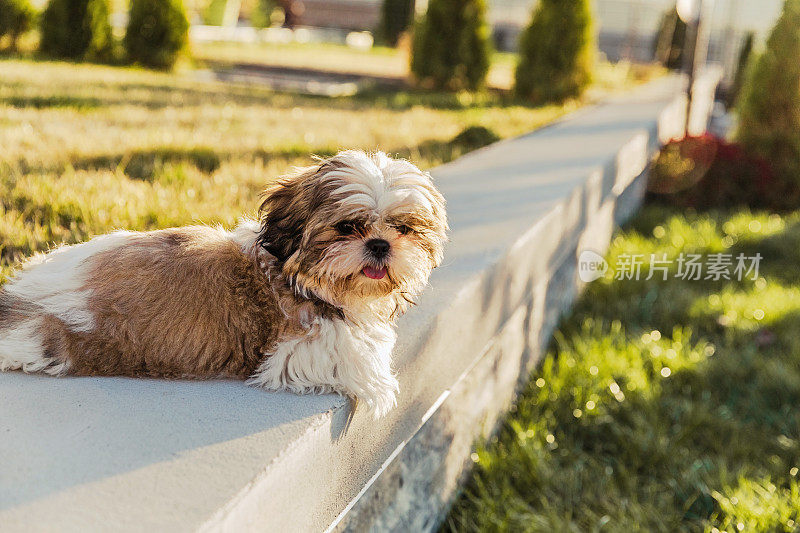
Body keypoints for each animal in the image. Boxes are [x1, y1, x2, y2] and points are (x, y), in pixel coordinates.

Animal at [0, 149, 450, 416]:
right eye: (347, 227)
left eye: (404, 229)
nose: (379, 244)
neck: (294, 274)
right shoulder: (299, 348)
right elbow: (353, 357)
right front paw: (381, 386)